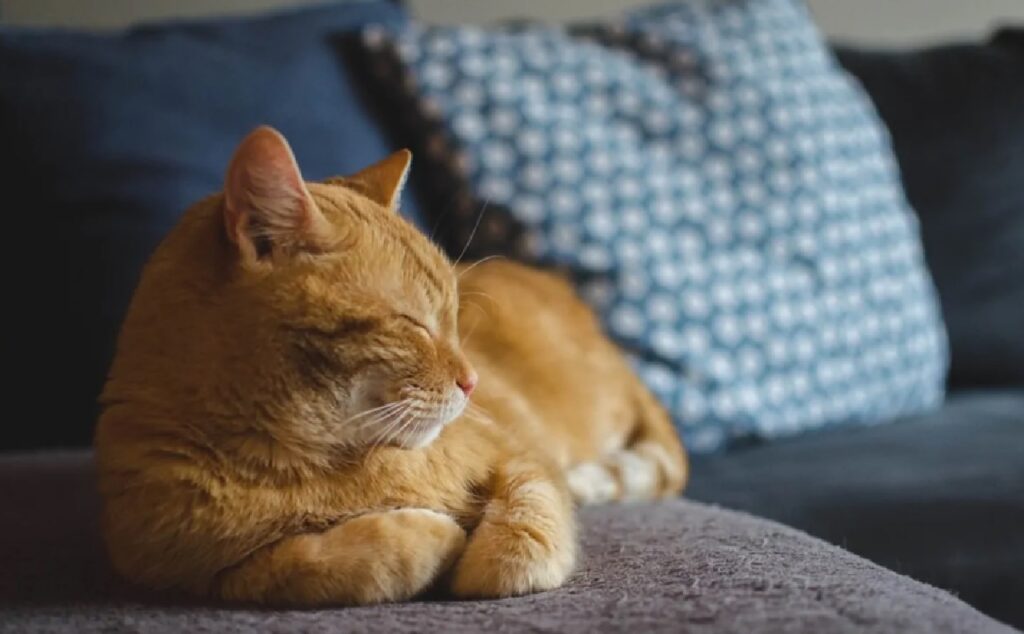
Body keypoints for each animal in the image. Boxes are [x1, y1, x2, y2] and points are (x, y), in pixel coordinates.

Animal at [96, 126, 688, 606]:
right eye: (413, 324)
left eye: (455, 318)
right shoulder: (195, 571)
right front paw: (432, 536)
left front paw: (490, 561)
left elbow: (531, 509)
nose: (471, 382)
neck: (311, 460)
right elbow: (315, 565)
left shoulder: (519, 454)